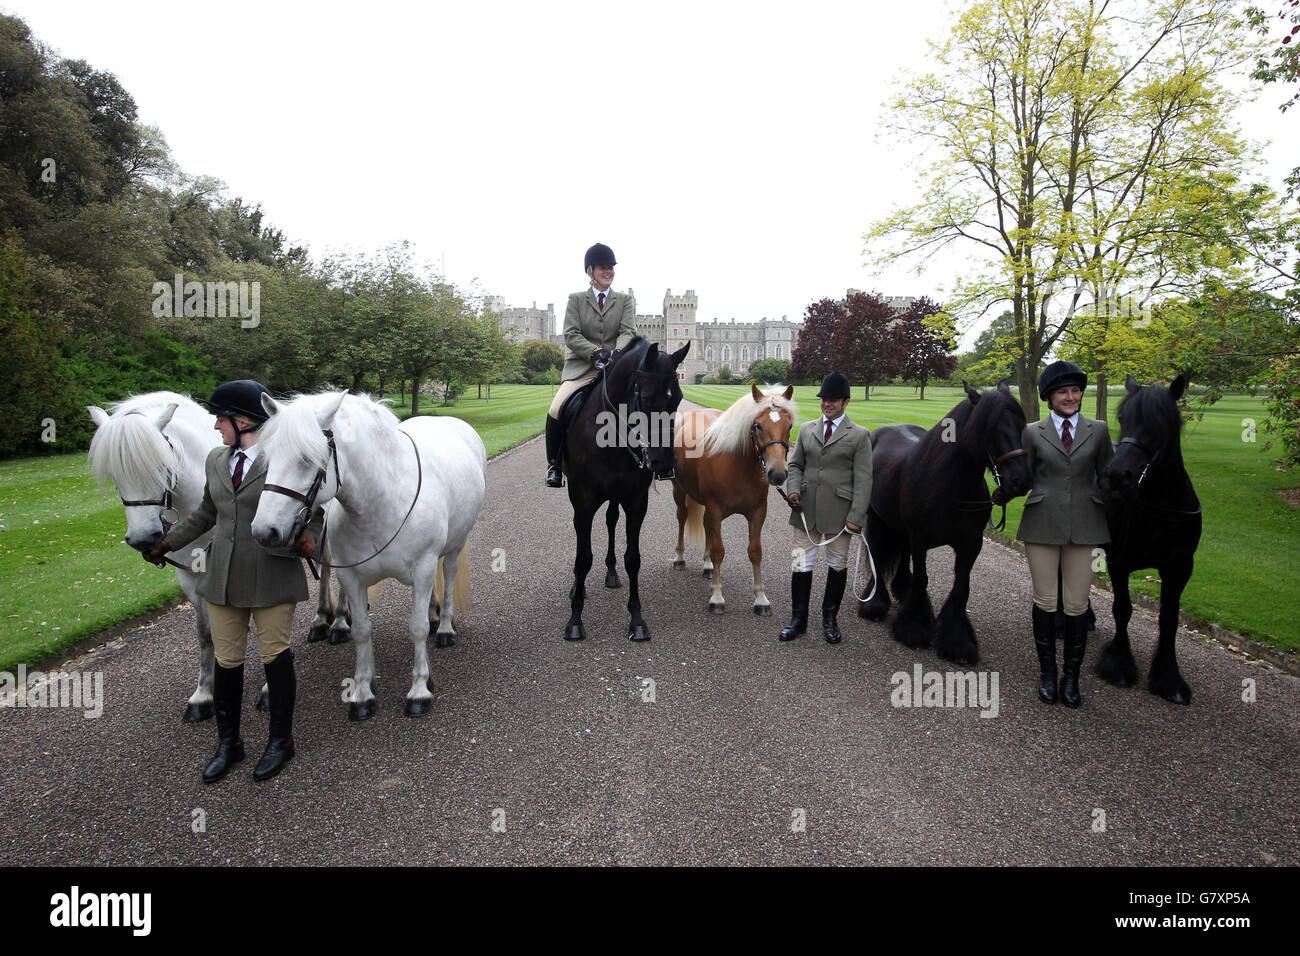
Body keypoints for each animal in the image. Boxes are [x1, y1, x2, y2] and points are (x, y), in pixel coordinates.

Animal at [250, 392, 486, 723]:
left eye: (307, 459)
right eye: (267, 458)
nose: (264, 531)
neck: (384, 501)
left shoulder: (423, 567)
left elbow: (417, 628)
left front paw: (419, 690)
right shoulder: (352, 577)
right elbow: (361, 630)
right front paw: (362, 692)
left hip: (454, 546)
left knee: (449, 576)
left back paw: (444, 627)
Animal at [564, 335, 696, 642]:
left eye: (678, 399)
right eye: (646, 399)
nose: (663, 463)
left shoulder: (636, 502)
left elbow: (633, 558)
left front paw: (636, 619)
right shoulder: (583, 502)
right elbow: (582, 558)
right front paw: (575, 619)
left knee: (611, 521)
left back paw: (611, 573)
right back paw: (578, 588)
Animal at [676, 382, 795, 613]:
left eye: (790, 426)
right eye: (758, 425)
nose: (777, 473)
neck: (737, 464)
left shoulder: (758, 511)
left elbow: (755, 551)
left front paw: (760, 598)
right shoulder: (715, 509)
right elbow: (719, 550)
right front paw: (717, 597)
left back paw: (707, 566)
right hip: (679, 491)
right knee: (682, 518)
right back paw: (679, 557)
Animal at [857, 382, 1029, 665]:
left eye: (1021, 424)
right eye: (989, 428)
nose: (1020, 480)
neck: (954, 485)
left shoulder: (971, 543)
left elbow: (961, 587)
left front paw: (957, 642)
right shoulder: (921, 539)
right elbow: (923, 578)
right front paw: (913, 628)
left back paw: (902, 590)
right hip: (877, 518)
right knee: (878, 555)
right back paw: (876, 602)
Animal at [1092, 374, 1201, 702]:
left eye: (1161, 423)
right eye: (1123, 418)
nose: (1116, 477)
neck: (1160, 507)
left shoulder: (1180, 566)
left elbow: (1169, 618)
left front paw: (1168, 677)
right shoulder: (1119, 561)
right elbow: (1123, 608)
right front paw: (1118, 662)